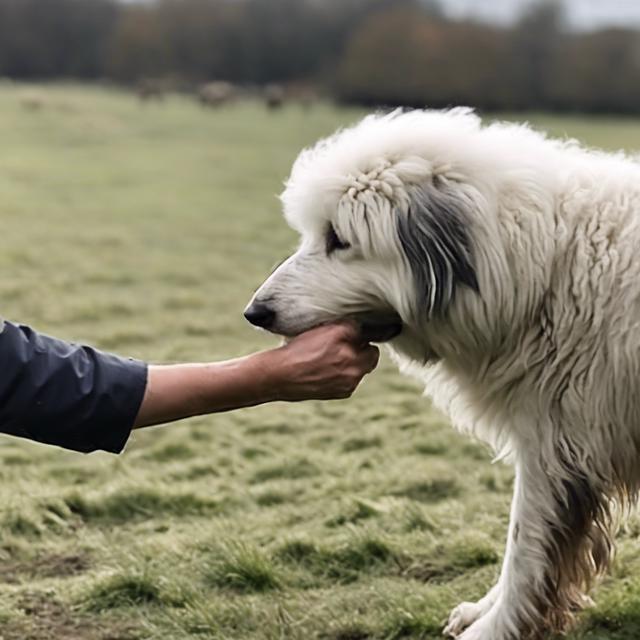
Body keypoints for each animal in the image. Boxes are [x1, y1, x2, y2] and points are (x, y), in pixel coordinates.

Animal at [244, 107, 640, 636]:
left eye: (339, 239)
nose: (255, 312)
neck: (545, 269)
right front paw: (485, 613)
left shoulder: (556, 445)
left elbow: (526, 551)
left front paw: (496, 628)